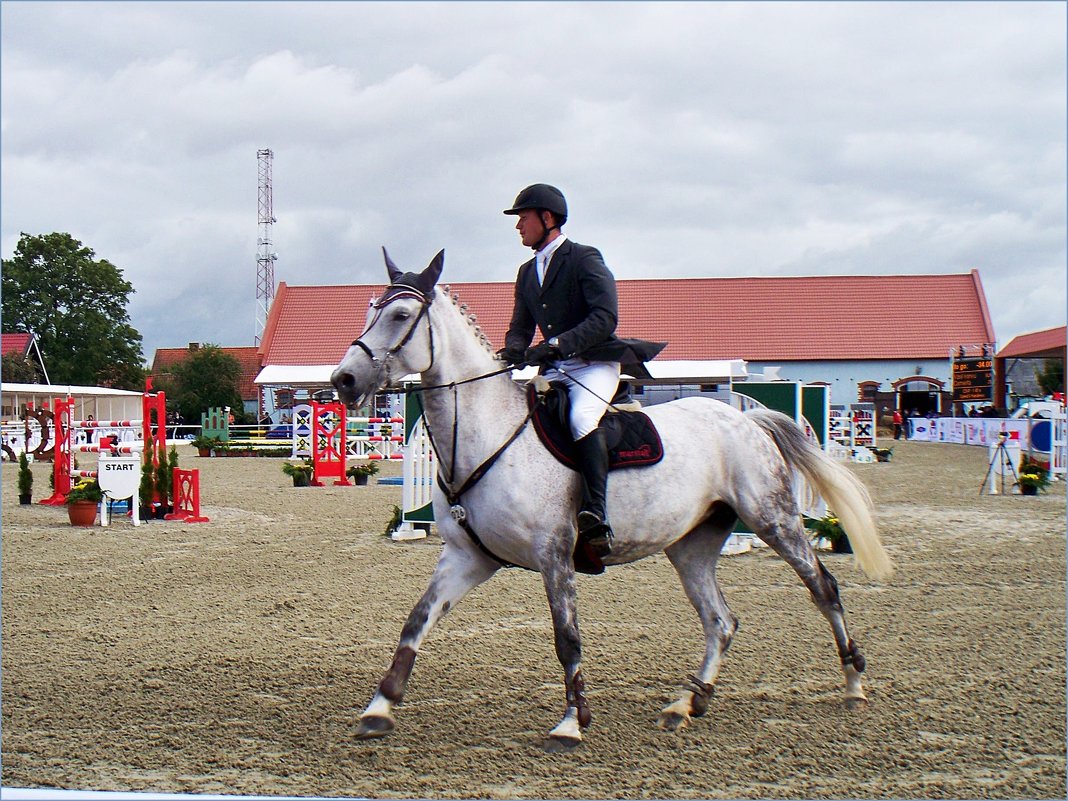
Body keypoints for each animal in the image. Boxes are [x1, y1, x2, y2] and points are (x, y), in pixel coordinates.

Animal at [331, 252, 892, 751]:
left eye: (400, 315)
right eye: (369, 310)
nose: (343, 380)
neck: (487, 434)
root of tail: (745, 418)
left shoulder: (554, 554)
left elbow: (567, 638)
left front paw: (571, 723)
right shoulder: (468, 558)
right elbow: (416, 622)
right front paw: (379, 708)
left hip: (772, 519)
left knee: (823, 588)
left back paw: (853, 685)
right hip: (691, 545)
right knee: (721, 621)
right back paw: (688, 702)